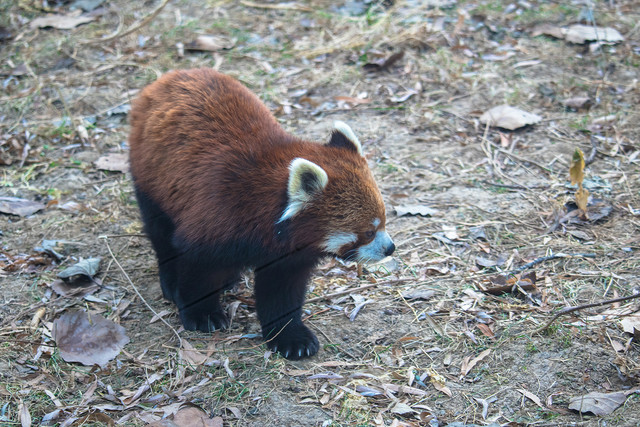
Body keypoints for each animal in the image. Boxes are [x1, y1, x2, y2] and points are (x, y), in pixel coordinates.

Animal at [127, 68, 392, 360]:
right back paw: (169, 279)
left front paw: (290, 336)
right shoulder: (214, 216)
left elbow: (281, 292)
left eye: (384, 222)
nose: (390, 248)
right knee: (160, 232)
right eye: (368, 232)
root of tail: (174, 75)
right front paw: (202, 314)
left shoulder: (287, 255)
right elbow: (197, 268)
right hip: (150, 177)